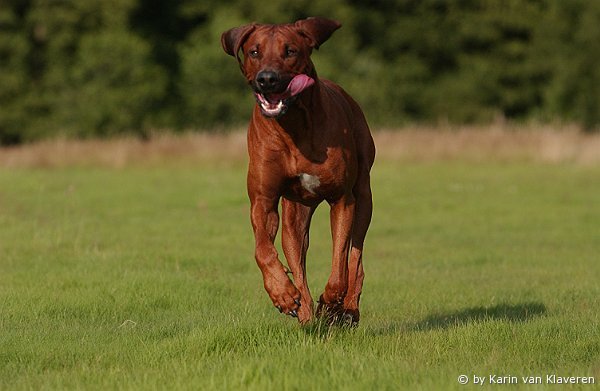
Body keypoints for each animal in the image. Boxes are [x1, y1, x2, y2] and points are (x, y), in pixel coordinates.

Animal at [221, 16, 376, 326]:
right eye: (254, 52)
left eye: (290, 51)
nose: (267, 79)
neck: (292, 125)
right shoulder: (263, 202)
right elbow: (263, 250)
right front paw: (282, 293)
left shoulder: (342, 200)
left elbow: (340, 260)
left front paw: (331, 300)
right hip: (296, 215)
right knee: (298, 260)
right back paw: (304, 309)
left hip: (364, 196)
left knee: (356, 255)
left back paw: (346, 307)